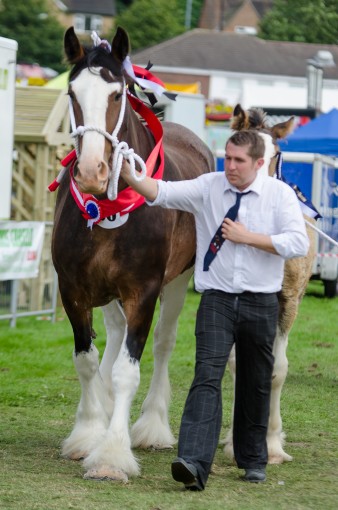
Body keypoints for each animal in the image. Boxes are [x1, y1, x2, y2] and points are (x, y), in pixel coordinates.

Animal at [50, 26, 214, 482]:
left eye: (116, 94)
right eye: (72, 92)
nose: (92, 172)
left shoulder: (143, 290)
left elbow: (128, 371)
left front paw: (111, 455)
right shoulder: (73, 289)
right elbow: (87, 361)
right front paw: (89, 432)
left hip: (177, 283)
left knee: (162, 343)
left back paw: (153, 426)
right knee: (114, 336)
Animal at [223, 105, 316, 464]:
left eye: (275, 154)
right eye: (233, 153)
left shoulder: (287, 302)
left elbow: (276, 369)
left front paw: (272, 443)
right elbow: (239, 366)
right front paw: (235, 441)